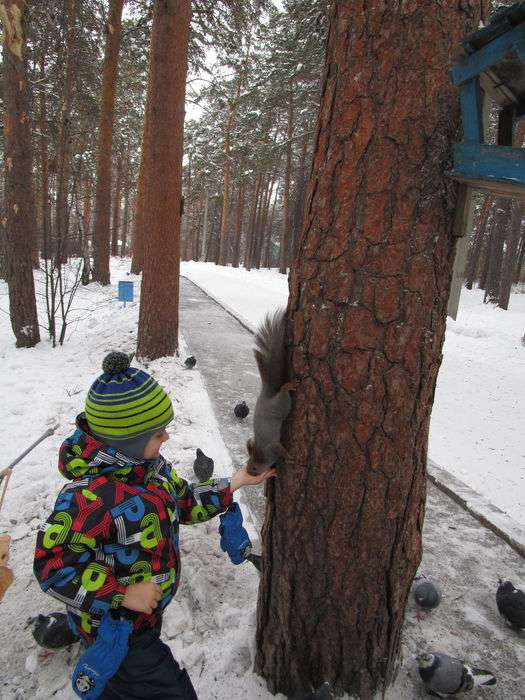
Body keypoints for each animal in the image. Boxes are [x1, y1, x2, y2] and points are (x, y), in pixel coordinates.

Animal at [245, 308, 294, 476]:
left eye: (253, 467)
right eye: (246, 464)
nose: (251, 474)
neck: (262, 453)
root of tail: (267, 395)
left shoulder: (272, 448)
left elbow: (280, 450)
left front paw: (288, 457)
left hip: (281, 405)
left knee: (284, 394)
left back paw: (289, 386)